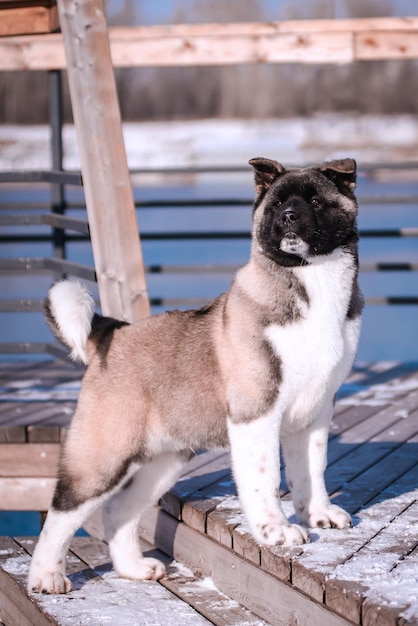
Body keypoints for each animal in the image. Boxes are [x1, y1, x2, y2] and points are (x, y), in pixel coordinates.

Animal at [28, 158, 362, 592]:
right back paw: (47, 576)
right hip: (104, 454)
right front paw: (276, 531)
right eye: (276, 203)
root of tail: (112, 331)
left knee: (118, 510)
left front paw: (318, 514)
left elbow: (312, 470)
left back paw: (134, 569)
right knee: (63, 512)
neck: (311, 281)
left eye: (316, 200)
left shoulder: (315, 412)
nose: (288, 216)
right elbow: (266, 477)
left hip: (162, 459)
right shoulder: (256, 413)